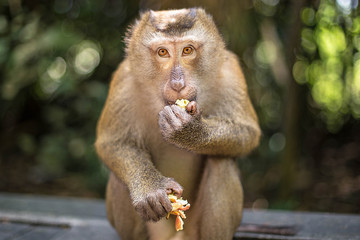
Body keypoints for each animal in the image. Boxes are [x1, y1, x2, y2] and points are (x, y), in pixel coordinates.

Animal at [94, 7, 260, 240]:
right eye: (163, 52)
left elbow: (247, 133)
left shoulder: (230, 71)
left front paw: (191, 131)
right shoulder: (123, 81)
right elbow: (113, 142)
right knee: (119, 178)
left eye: (187, 50)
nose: (178, 84)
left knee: (221, 162)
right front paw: (150, 188)